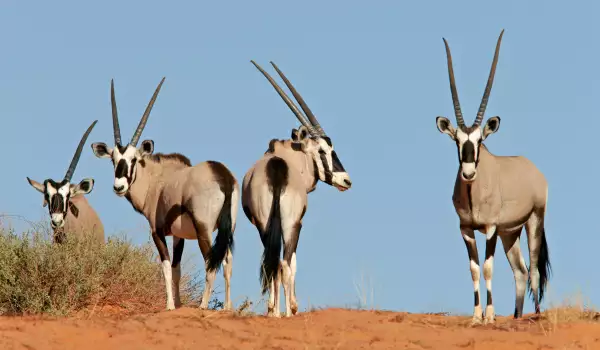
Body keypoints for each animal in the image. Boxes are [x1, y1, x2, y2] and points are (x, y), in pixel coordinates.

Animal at [90, 78, 238, 310]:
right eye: (113, 160)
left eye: (133, 159)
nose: (119, 187)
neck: (155, 179)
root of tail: (222, 175)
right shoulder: (179, 236)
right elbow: (177, 269)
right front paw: (177, 304)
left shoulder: (157, 232)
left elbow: (167, 268)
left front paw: (169, 306)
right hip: (228, 229)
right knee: (227, 260)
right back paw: (227, 307)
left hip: (204, 230)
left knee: (211, 263)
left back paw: (203, 305)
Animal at [241, 60, 350, 318]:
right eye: (323, 151)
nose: (346, 180)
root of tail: (276, 170)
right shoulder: (298, 223)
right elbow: (293, 264)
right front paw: (292, 307)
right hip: (291, 224)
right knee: (284, 263)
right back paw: (289, 311)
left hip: (265, 225)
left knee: (272, 262)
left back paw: (274, 311)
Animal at [434, 29, 552, 322]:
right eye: (457, 141)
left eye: (479, 141)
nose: (468, 173)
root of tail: (533, 169)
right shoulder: (466, 229)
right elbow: (474, 268)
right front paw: (477, 315)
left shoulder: (489, 229)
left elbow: (487, 267)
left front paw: (489, 314)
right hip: (510, 233)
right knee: (520, 271)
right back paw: (517, 316)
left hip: (534, 221)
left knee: (533, 269)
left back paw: (535, 315)